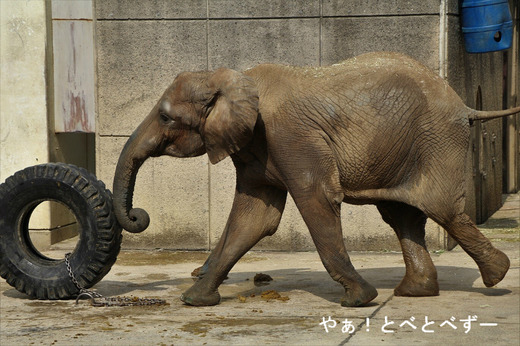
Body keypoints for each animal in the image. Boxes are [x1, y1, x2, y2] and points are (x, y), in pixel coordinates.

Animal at [112, 50, 516, 306]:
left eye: (166, 117)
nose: (139, 216)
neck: (234, 79)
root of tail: (465, 104)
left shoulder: (289, 135)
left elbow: (317, 200)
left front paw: (360, 300)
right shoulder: (258, 144)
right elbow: (254, 217)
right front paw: (195, 300)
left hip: (436, 142)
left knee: (442, 209)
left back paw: (497, 277)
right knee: (402, 215)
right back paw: (416, 292)